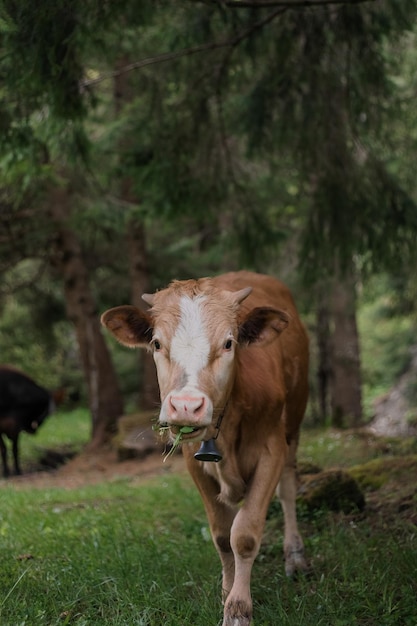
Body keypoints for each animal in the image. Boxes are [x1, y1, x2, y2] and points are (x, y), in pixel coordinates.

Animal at [101, 270, 308, 624]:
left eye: (228, 343)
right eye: (157, 343)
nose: (186, 405)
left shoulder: (272, 450)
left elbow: (245, 534)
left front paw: (238, 610)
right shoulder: (193, 460)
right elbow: (223, 535)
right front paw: (227, 592)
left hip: (294, 422)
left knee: (288, 490)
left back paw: (294, 555)